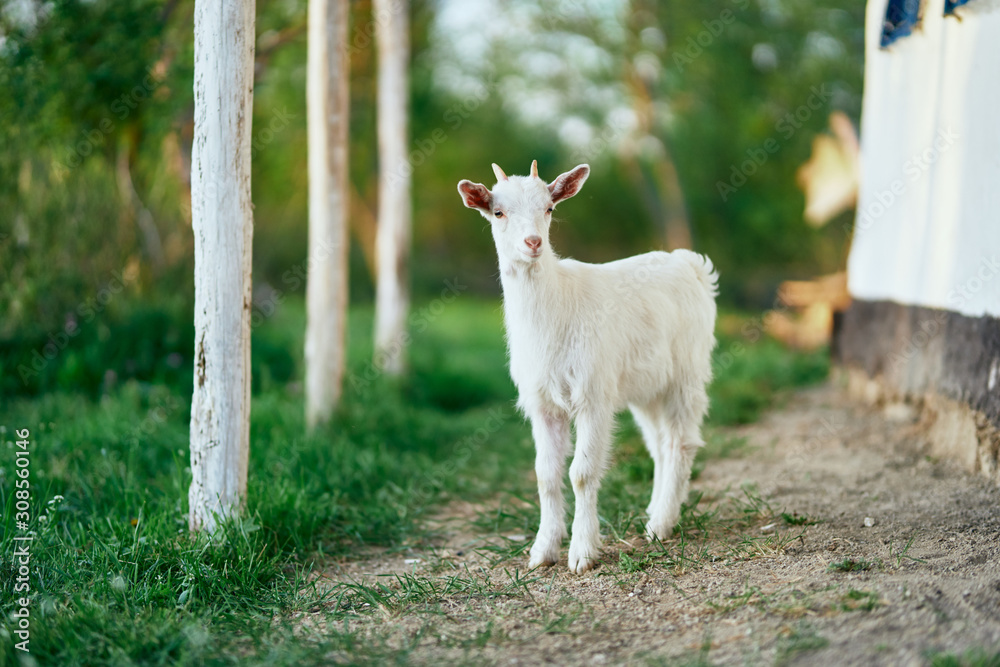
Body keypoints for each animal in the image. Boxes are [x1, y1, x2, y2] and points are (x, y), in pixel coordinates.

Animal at [457, 161, 718, 573]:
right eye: (497, 212)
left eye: (549, 208)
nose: (533, 243)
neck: (556, 308)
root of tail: (690, 263)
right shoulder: (543, 402)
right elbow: (545, 474)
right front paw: (542, 551)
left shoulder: (593, 394)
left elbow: (581, 473)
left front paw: (582, 552)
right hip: (645, 386)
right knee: (659, 443)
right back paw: (656, 512)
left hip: (686, 371)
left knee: (681, 441)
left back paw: (661, 526)